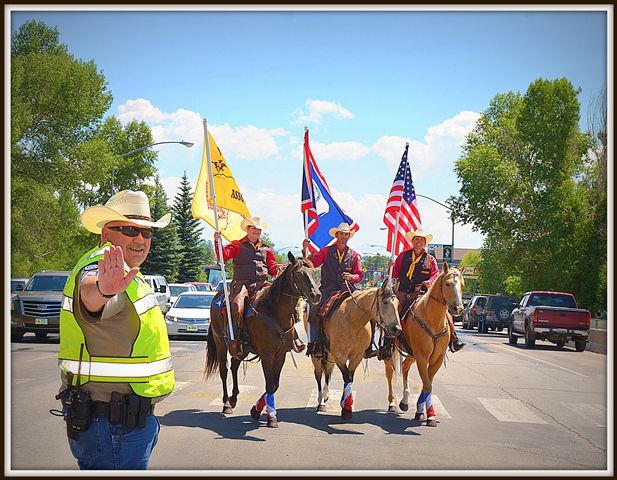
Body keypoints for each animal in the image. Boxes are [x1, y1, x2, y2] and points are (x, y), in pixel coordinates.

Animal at [205, 253, 320, 430]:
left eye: (314, 273)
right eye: (300, 274)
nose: (316, 295)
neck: (273, 312)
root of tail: (217, 297)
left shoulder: (280, 355)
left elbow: (275, 385)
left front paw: (257, 411)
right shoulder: (267, 355)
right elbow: (270, 384)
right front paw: (270, 417)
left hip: (242, 349)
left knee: (234, 366)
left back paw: (234, 398)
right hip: (220, 343)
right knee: (224, 370)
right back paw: (226, 403)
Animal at [306, 282, 402, 420]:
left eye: (398, 304)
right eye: (385, 302)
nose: (397, 329)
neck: (352, 321)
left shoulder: (357, 356)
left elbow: (350, 377)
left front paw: (346, 405)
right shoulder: (340, 355)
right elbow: (346, 376)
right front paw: (345, 407)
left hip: (330, 354)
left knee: (328, 371)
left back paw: (325, 395)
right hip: (318, 354)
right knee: (318, 374)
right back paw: (321, 402)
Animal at [382, 262, 464, 428]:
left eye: (463, 285)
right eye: (448, 283)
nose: (458, 309)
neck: (433, 320)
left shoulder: (436, 359)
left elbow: (428, 385)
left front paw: (425, 412)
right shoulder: (422, 357)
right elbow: (427, 385)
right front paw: (425, 412)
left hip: (412, 354)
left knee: (405, 367)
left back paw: (405, 401)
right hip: (393, 352)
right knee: (389, 373)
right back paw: (392, 403)